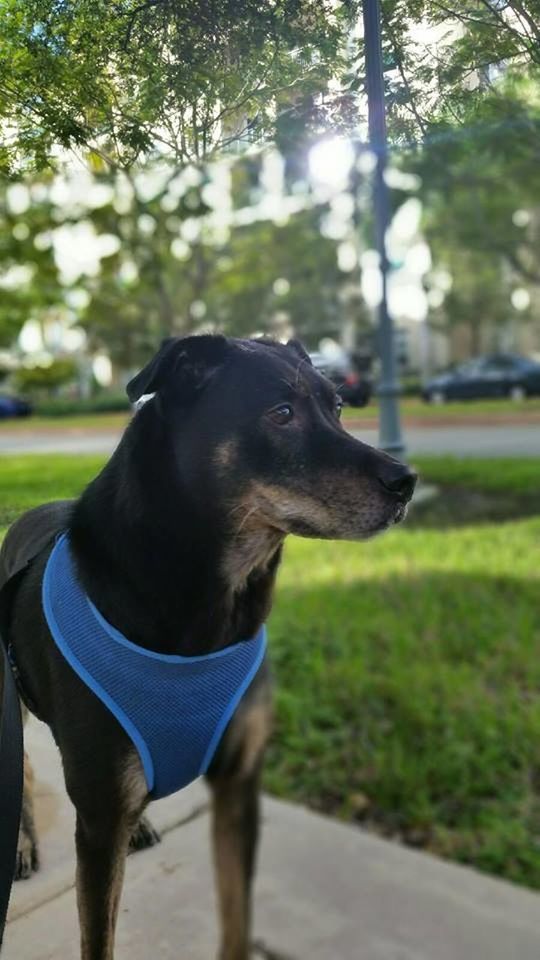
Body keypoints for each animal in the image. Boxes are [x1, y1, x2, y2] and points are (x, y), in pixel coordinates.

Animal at [0, 336, 418, 960]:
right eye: (281, 413)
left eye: (339, 408)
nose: (406, 480)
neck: (210, 604)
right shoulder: (96, 824)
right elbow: (99, 938)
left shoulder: (239, 785)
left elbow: (236, 915)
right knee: (24, 771)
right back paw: (26, 845)